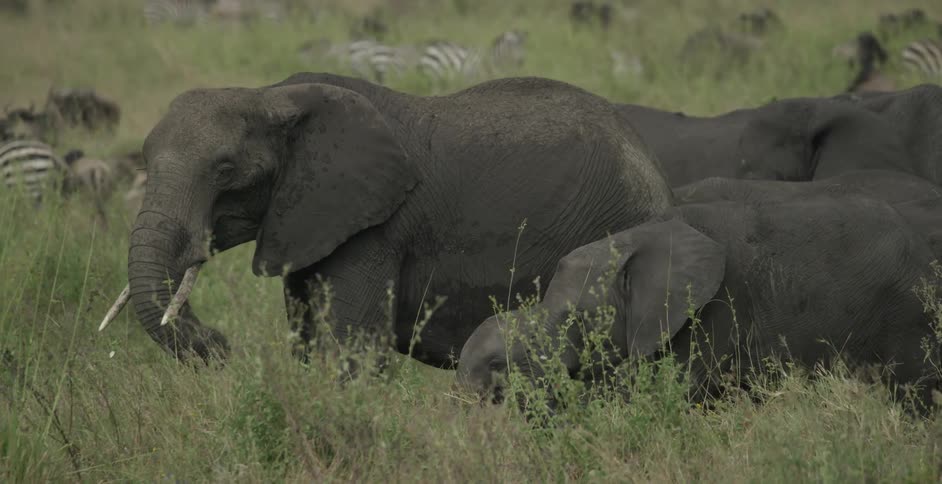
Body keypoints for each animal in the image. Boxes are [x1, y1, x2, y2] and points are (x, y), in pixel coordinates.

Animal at [100, 72, 674, 365]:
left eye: (224, 170)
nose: (217, 343)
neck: (270, 96)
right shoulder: (308, 221)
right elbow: (309, 340)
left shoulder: (376, 228)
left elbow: (350, 347)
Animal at [457, 192, 941, 409]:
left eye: (574, 318)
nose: (487, 380)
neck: (638, 238)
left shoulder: (715, 310)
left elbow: (667, 391)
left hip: (908, 317)